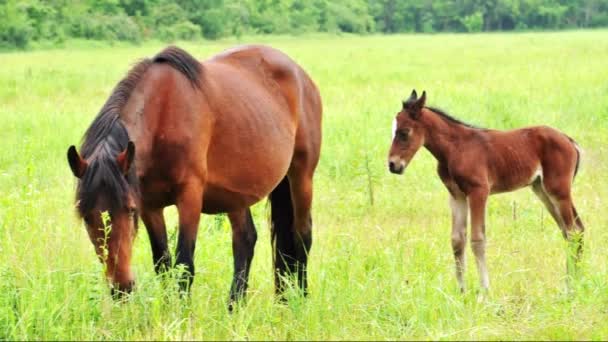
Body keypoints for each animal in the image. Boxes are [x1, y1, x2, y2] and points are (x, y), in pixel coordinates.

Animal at [66, 45, 324, 308]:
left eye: (129, 210)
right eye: (86, 217)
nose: (122, 287)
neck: (163, 114)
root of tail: (299, 73)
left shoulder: (189, 196)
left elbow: (184, 265)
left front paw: (181, 313)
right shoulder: (150, 206)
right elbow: (163, 264)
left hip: (301, 175)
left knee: (302, 235)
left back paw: (300, 300)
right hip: (236, 194)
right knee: (245, 240)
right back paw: (235, 307)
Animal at [390, 89, 584, 292]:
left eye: (404, 132)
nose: (393, 165)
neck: (455, 148)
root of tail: (569, 140)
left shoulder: (478, 192)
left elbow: (477, 240)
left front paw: (484, 291)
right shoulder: (456, 195)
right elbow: (457, 240)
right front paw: (462, 291)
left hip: (558, 191)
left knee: (572, 231)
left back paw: (571, 287)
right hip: (542, 190)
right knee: (573, 229)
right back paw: (574, 282)